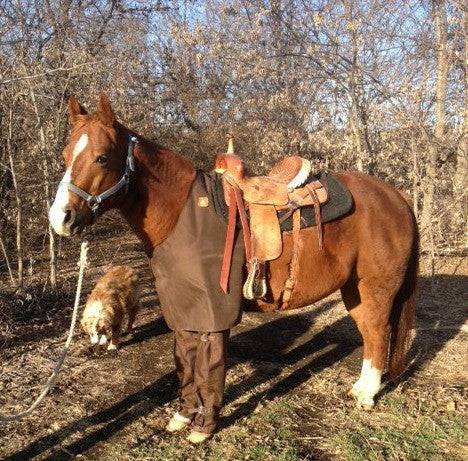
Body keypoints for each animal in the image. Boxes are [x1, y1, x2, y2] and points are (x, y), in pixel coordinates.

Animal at [49, 94, 418, 410]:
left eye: (101, 157)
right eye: (65, 157)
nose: (60, 218)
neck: (183, 212)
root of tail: (396, 198)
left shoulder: (212, 310)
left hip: (375, 289)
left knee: (377, 333)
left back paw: (367, 395)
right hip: (355, 289)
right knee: (369, 333)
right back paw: (362, 388)